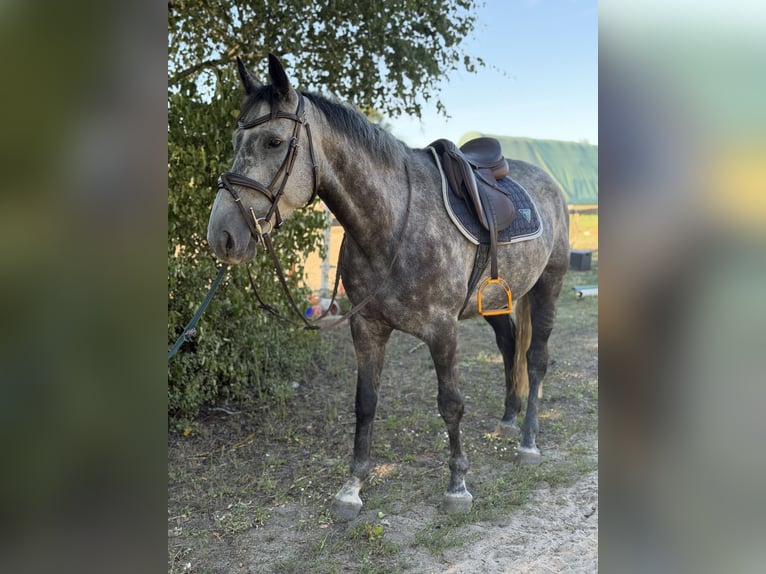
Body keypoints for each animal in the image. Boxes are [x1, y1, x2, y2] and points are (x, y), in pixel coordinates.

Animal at [206, 55, 570, 521]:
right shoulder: (367, 327)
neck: (393, 221)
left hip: (549, 285)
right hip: (497, 299)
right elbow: (365, 402)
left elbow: (450, 403)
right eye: (237, 139)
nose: (223, 236)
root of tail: (548, 183)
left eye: (273, 141)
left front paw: (458, 485)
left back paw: (527, 441)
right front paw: (352, 487)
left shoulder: (443, 331)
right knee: (509, 345)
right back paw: (508, 421)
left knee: (536, 359)